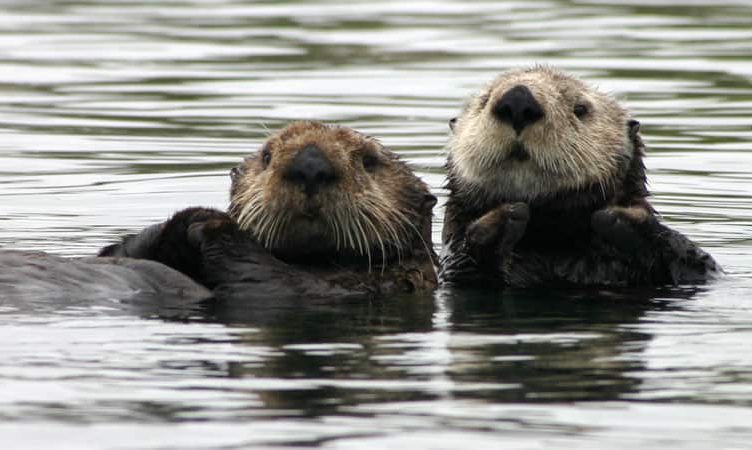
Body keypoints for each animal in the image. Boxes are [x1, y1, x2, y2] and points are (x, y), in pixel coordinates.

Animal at [100, 121, 438, 299]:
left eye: (369, 160)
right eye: (266, 156)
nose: (310, 165)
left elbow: (270, 279)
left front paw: (208, 224)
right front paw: (185, 222)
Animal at [440, 66, 721, 287]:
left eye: (581, 108)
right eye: (483, 101)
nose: (518, 101)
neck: (551, 239)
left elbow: (697, 262)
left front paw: (620, 219)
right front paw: (501, 220)